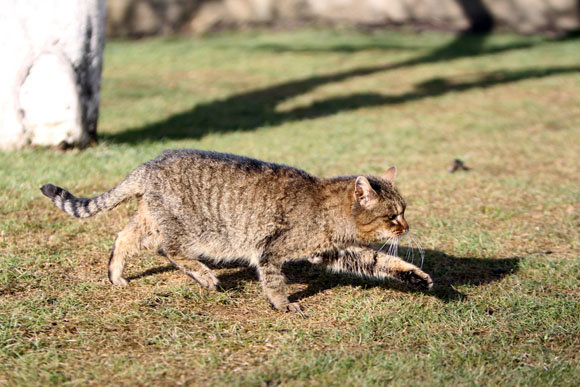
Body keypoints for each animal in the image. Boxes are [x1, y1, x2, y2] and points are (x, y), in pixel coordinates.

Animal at [39, 149, 430, 312]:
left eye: (404, 211)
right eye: (393, 216)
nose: (407, 226)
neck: (326, 209)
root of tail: (148, 164)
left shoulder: (336, 252)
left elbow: (381, 262)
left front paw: (415, 276)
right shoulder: (270, 251)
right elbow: (273, 282)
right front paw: (282, 305)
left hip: (149, 221)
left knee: (122, 238)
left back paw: (116, 275)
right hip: (188, 230)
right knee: (169, 250)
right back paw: (204, 275)